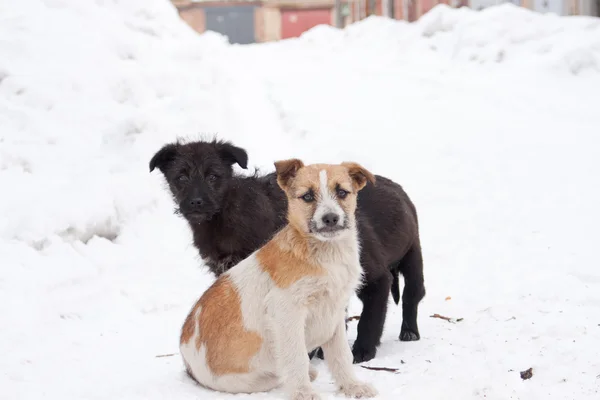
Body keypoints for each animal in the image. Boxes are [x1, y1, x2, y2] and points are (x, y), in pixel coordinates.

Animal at [150, 139, 426, 364]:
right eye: (181, 177)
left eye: (213, 176)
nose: (196, 202)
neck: (225, 215)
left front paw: (360, 351)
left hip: (412, 257)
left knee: (413, 293)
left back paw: (408, 332)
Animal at [178, 160, 378, 400]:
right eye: (307, 196)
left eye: (342, 192)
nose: (330, 218)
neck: (324, 253)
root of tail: (187, 361)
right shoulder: (287, 313)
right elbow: (297, 357)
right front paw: (303, 393)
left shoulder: (335, 311)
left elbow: (341, 356)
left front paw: (352, 387)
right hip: (248, 381)